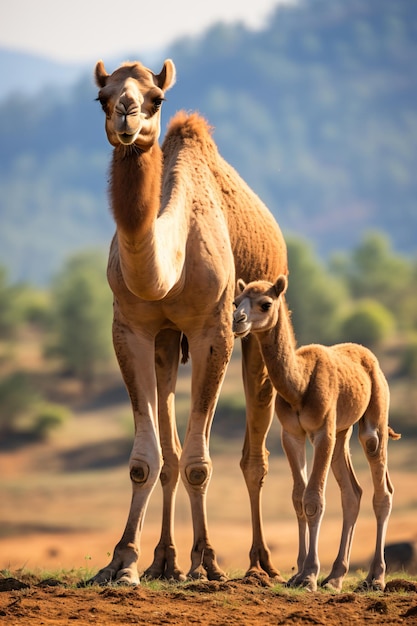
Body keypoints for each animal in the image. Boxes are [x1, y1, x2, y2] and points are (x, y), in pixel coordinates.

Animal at [90, 56, 286, 584]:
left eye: (156, 98)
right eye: (102, 96)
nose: (126, 114)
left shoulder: (213, 330)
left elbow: (200, 461)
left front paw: (209, 562)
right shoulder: (132, 329)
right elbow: (148, 459)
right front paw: (124, 562)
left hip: (262, 328)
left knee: (253, 455)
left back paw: (258, 564)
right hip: (166, 341)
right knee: (172, 452)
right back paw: (165, 560)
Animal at [232, 276, 398, 588]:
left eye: (265, 303)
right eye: (236, 301)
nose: (237, 320)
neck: (300, 385)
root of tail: (371, 360)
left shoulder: (322, 431)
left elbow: (313, 499)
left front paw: (309, 574)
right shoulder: (291, 434)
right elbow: (298, 498)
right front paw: (297, 573)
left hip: (374, 419)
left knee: (381, 487)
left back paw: (375, 578)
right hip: (342, 431)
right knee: (352, 493)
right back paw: (335, 577)